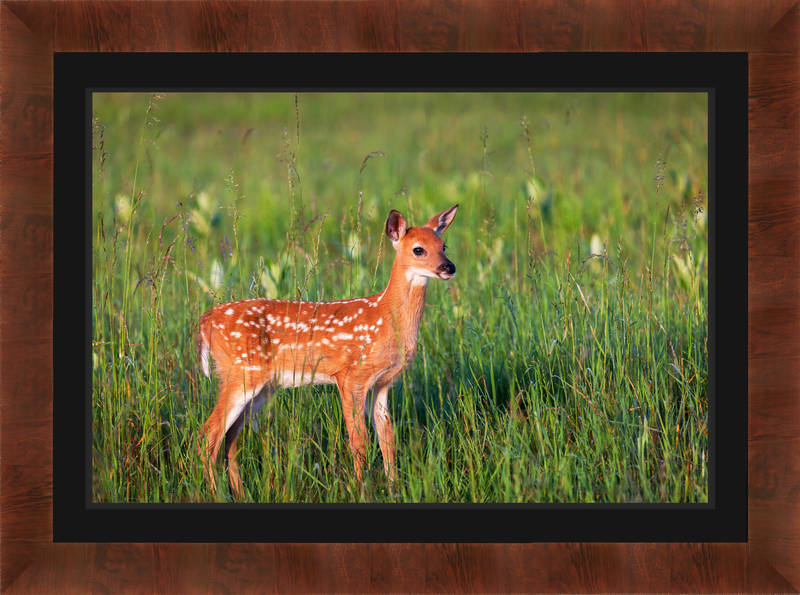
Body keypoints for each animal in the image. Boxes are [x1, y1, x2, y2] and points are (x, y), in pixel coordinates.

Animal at [197, 204, 458, 498]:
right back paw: (216, 493)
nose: (448, 267)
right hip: (240, 372)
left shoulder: (382, 383)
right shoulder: (351, 375)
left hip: (260, 386)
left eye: (443, 245)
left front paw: (394, 489)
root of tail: (205, 321)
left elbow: (388, 439)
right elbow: (358, 441)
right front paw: (362, 490)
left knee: (229, 438)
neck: (386, 317)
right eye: (418, 249)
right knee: (209, 433)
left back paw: (240, 493)